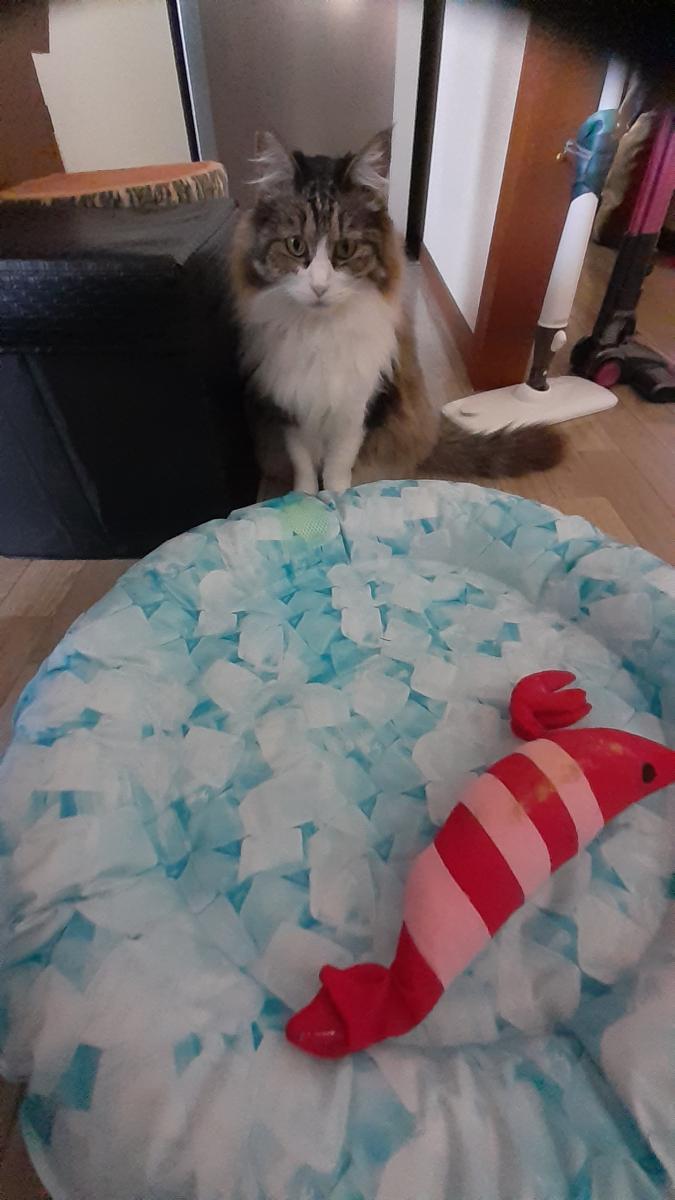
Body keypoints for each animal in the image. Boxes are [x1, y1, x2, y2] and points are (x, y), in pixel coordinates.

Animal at [229, 128, 563, 495]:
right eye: (295, 246)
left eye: (345, 248)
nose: (319, 286)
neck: (320, 331)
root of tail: (431, 432)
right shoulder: (288, 410)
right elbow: (303, 466)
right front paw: (304, 498)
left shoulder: (358, 409)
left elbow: (337, 467)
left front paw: (338, 499)